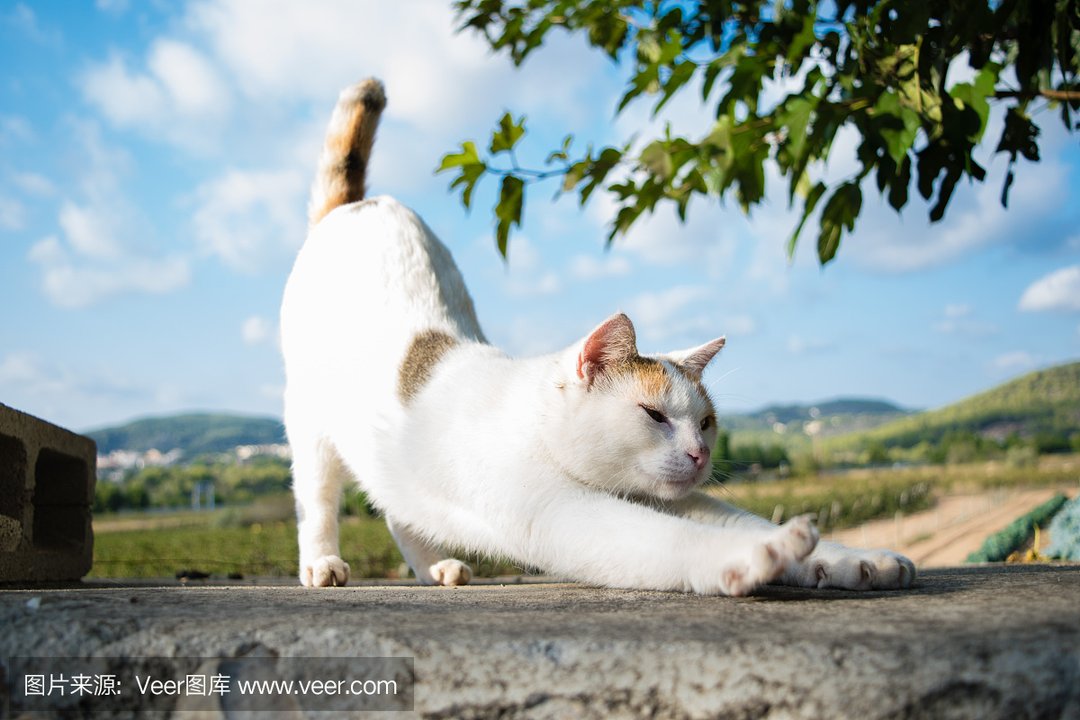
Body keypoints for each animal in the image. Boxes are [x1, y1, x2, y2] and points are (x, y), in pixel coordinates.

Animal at [278, 78, 911, 595]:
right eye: (653, 415)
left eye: (707, 422)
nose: (701, 453)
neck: (537, 427)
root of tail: (356, 205)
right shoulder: (562, 515)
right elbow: (673, 542)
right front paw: (760, 556)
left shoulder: (679, 498)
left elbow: (739, 519)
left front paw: (854, 560)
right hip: (310, 431)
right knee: (318, 502)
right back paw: (323, 565)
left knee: (394, 505)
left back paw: (435, 567)